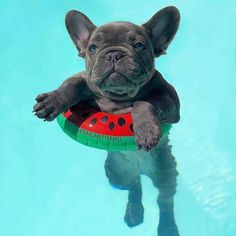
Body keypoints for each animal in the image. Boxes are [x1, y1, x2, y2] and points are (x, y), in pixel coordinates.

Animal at [32, 6, 181, 236]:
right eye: (92, 48)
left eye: (139, 45)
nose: (113, 54)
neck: (119, 97)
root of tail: (140, 169)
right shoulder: (85, 81)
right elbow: (71, 85)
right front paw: (53, 100)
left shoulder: (171, 102)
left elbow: (144, 102)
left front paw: (146, 130)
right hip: (115, 174)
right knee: (134, 184)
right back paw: (134, 211)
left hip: (165, 172)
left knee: (164, 201)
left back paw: (167, 227)